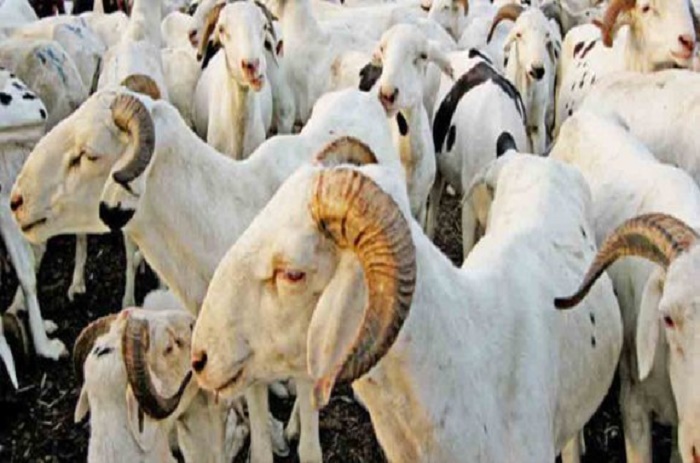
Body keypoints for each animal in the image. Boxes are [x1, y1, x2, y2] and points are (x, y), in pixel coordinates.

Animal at [11, 87, 400, 463]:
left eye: (88, 155)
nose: (16, 201)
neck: (222, 217)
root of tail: (364, 95)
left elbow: (309, 450)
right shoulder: (238, 365)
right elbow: (259, 446)